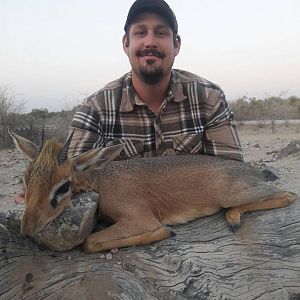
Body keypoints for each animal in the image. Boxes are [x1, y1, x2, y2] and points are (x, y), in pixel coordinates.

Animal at [9, 131, 298, 253]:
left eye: (64, 186)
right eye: (25, 179)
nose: (26, 228)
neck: (102, 181)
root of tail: (250, 170)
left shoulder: (140, 218)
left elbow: (90, 242)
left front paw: (165, 232)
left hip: (236, 193)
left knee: (288, 194)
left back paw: (234, 219)